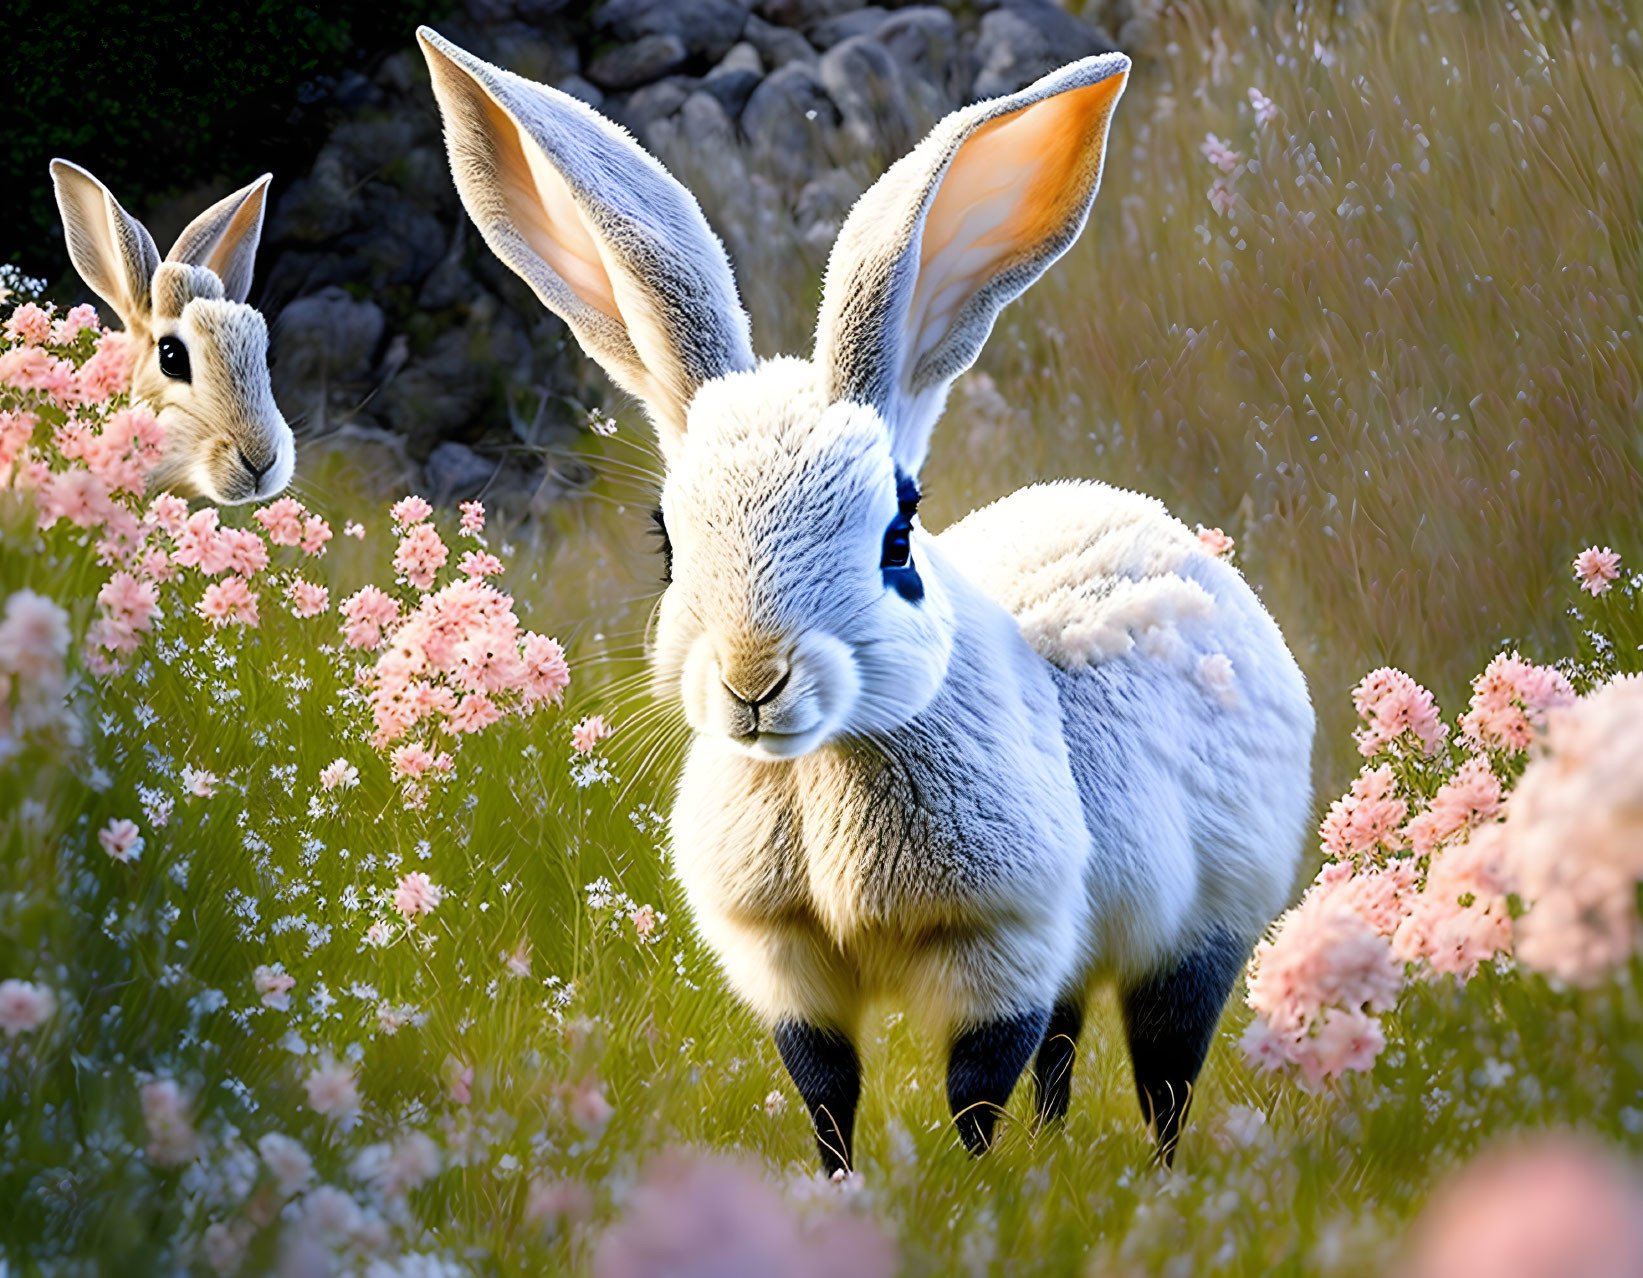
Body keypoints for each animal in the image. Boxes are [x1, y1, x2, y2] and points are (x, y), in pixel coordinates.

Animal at [417, 27, 1314, 1163]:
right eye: (665, 543)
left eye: (897, 537)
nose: (754, 679)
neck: (824, 770)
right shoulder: (787, 964)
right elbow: (826, 1092)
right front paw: (843, 1186)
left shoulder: (1003, 942)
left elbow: (974, 1091)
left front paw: (978, 1189)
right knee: (1068, 1049)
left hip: (1204, 920)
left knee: (1162, 1069)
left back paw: (1150, 1175)